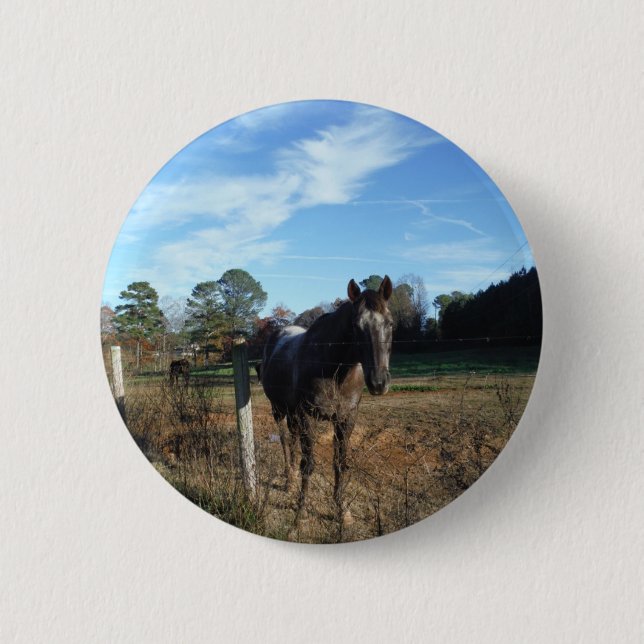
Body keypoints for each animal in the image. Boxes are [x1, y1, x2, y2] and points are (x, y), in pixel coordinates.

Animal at [261, 275, 393, 529]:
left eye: (390, 324)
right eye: (356, 325)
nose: (378, 382)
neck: (334, 369)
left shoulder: (346, 418)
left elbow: (339, 463)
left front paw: (342, 511)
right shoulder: (307, 416)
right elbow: (309, 463)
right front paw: (301, 512)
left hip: (292, 414)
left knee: (292, 439)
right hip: (279, 410)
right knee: (285, 441)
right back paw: (289, 480)